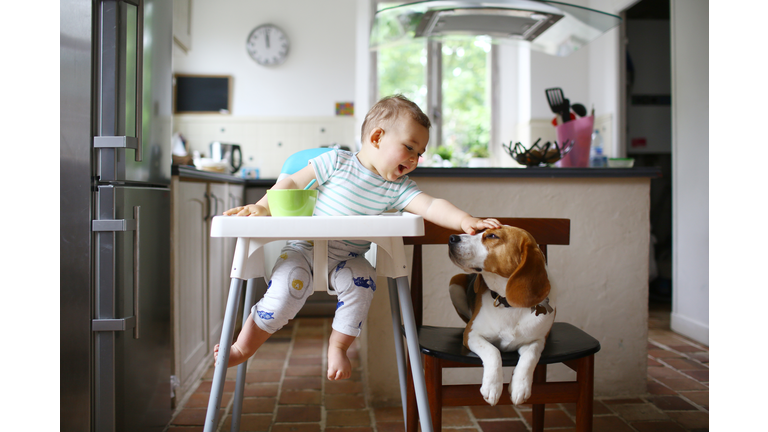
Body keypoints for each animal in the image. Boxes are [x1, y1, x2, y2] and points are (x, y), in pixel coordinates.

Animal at [448, 228, 556, 406]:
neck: (509, 304)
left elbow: (530, 357)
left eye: (492, 236)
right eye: (479, 231)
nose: (452, 238)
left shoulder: (538, 340)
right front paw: (492, 386)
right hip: (454, 283)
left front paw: (520, 387)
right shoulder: (471, 333)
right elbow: (493, 351)